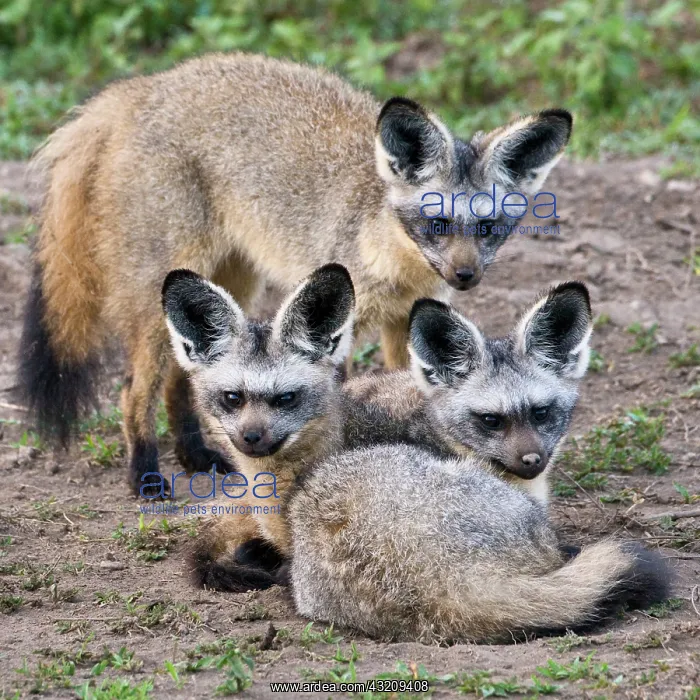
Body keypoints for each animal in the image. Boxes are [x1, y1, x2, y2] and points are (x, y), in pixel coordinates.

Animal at [18, 51, 573, 492]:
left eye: (488, 228)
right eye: (437, 223)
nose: (465, 277)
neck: (393, 263)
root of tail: (144, 86)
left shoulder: (401, 320)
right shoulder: (341, 327)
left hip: (230, 283)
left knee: (184, 375)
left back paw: (195, 456)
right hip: (164, 296)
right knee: (134, 389)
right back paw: (146, 475)